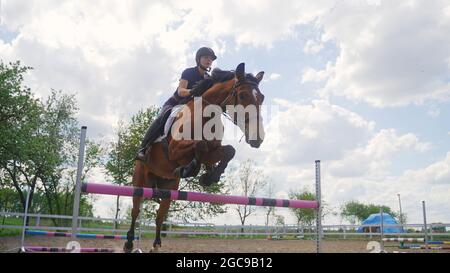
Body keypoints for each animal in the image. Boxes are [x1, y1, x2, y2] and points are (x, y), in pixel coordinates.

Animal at [124, 62, 264, 252]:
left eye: (262, 98)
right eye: (242, 95)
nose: (258, 139)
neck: (205, 115)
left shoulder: (212, 153)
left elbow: (228, 151)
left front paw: (209, 176)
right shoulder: (174, 150)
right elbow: (200, 145)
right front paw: (191, 169)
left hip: (169, 188)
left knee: (160, 216)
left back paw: (156, 245)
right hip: (139, 181)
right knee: (135, 210)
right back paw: (129, 243)